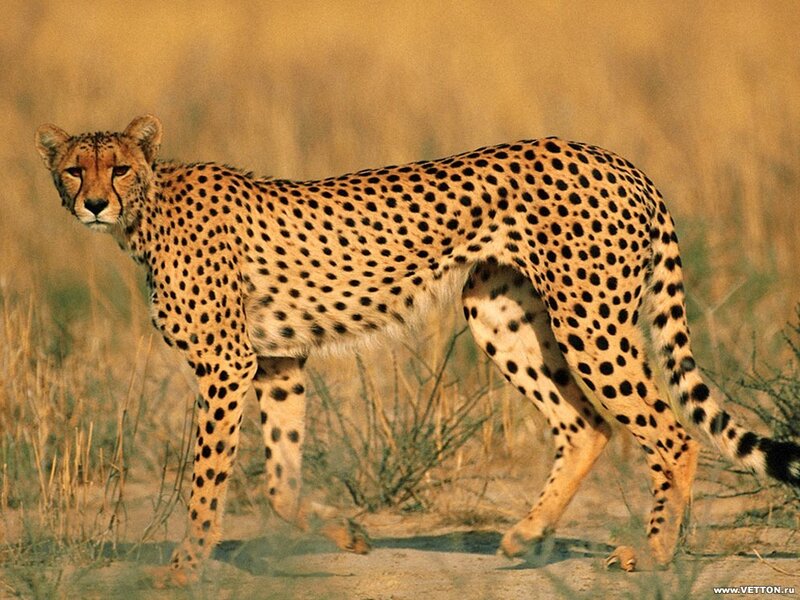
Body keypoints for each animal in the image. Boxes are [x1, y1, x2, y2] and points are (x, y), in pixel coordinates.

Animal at [35, 115, 800, 582]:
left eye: (119, 169)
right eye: (75, 169)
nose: (94, 203)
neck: (148, 212)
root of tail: (617, 159)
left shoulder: (227, 364)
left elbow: (205, 479)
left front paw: (182, 571)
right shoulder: (279, 360)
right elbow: (279, 480)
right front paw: (346, 535)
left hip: (590, 320)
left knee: (671, 432)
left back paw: (654, 552)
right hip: (498, 312)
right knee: (585, 425)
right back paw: (525, 535)